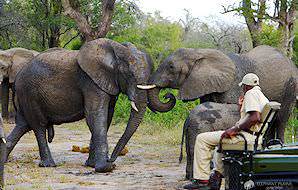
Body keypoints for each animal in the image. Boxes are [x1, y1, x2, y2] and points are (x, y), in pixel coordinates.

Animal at [5, 38, 155, 172]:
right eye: (129, 74)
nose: (111, 159)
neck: (117, 50)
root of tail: (17, 77)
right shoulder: (90, 82)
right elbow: (95, 116)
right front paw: (105, 167)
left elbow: (107, 116)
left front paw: (92, 165)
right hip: (29, 93)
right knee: (38, 126)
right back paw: (49, 165)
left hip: (26, 97)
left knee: (22, 125)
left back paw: (5, 160)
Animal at [146, 45, 298, 179]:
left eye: (171, 67)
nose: (168, 96)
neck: (200, 52)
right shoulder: (205, 83)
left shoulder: (233, 84)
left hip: (291, 89)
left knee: (281, 120)